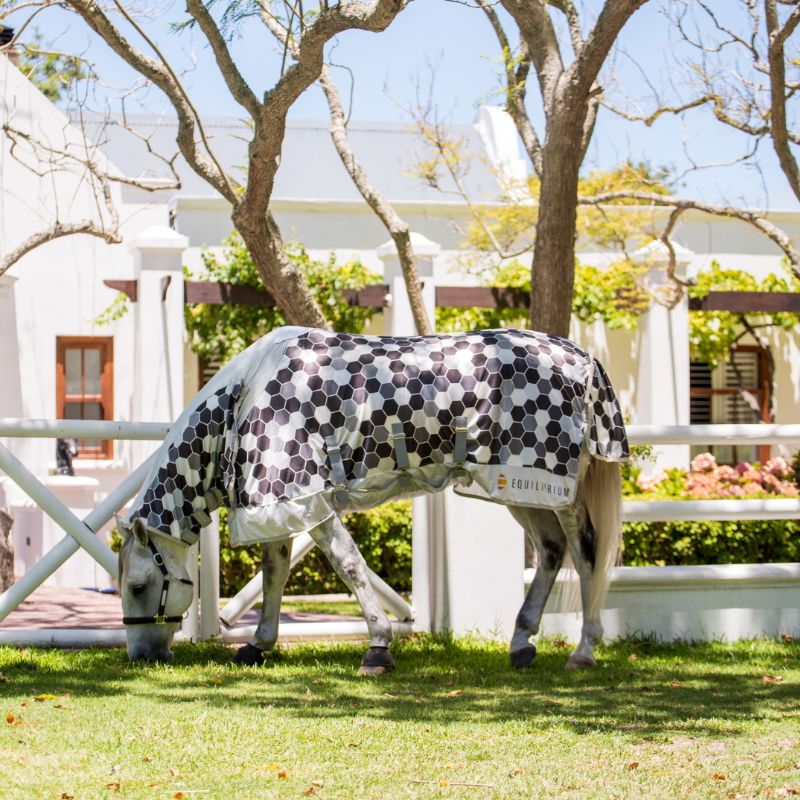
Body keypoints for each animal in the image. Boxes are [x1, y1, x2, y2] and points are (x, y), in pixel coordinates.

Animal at [117, 326, 628, 673]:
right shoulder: (279, 504)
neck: (246, 395)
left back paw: (584, 651)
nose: (141, 655)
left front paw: (378, 647)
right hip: (521, 485)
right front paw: (258, 644)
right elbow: (274, 573)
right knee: (551, 551)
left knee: (584, 551)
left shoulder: (309, 499)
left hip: (556, 487)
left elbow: (349, 565)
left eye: (138, 585)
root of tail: (583, 358)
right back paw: (521, 644)